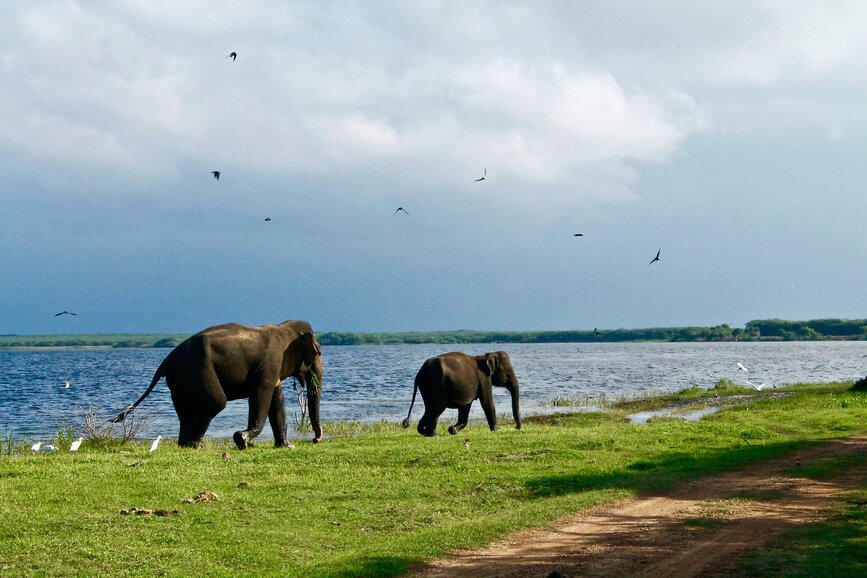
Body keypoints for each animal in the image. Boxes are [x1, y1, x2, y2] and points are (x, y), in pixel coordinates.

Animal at [112, 320, 323, 449]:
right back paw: (195, 445)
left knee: (186, 410)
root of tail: (167, 360)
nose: (315, 439)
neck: (283, 327)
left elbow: (276, 401)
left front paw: (287, 446)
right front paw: (241, 440)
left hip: (180, 381)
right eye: (317, 353)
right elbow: (261, 396)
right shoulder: (269, 366)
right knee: (215, 402)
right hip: (198, 371)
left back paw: (186, 444)